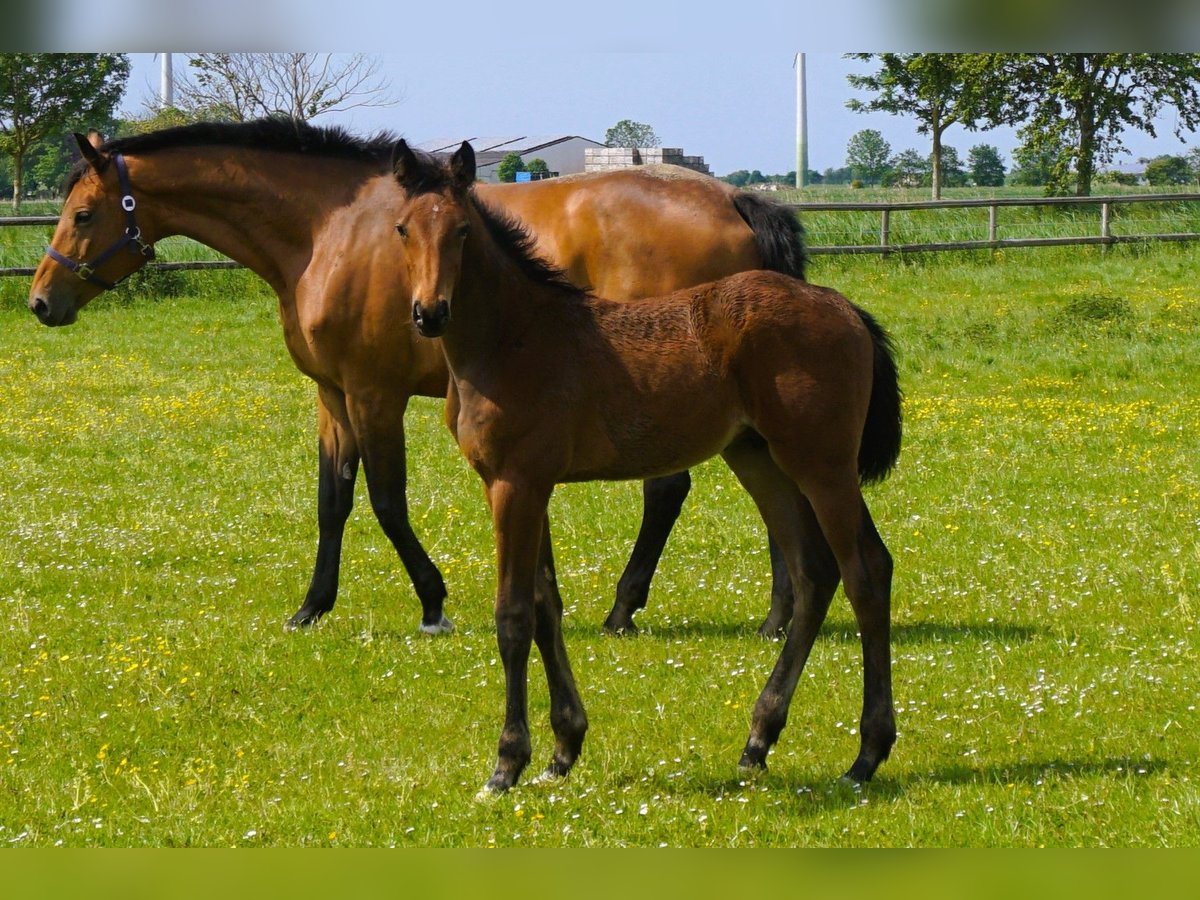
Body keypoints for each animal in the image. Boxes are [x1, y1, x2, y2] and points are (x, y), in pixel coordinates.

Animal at [28, 120, 811, 638]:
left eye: (83, 213)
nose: (40, 301)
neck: (329, 229)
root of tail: (732, 202)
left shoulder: (376, 395)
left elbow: (385, 500)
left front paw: (433, 601)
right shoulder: (332, 395)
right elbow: (332, 500)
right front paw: (312, 605)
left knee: (672, 490)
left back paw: (628, 608)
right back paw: (776, 614)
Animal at [386, 141, 902, 796]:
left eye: (460, 231)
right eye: (403, 229)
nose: (429, 313)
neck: (514, 339)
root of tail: (843, 306)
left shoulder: (515, 485)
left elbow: (514, 615)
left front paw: (507, 763)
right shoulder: (527, 486)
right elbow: (547, 605)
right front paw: (564, 749)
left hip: (823, 464)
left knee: (866, 570)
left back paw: (867, 753)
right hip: (759, 458)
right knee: (814, 573)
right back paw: (758, 740)